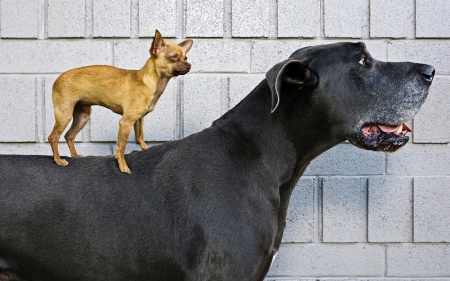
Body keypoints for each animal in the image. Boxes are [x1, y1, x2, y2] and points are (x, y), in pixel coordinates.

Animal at [48, 30, 192, 173]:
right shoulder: (126, 122)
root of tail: (57, 79)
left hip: (82, 117)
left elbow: (140, 137)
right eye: (174, 57)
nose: (189, 65)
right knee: (53, 137)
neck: (149, 81)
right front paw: (123, 166)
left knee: (69, 136)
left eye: (186, 57)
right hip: (64, 115)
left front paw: (146, 149)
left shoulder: (138, 119)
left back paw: (75, 155)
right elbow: (121, 147)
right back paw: (58, 160)